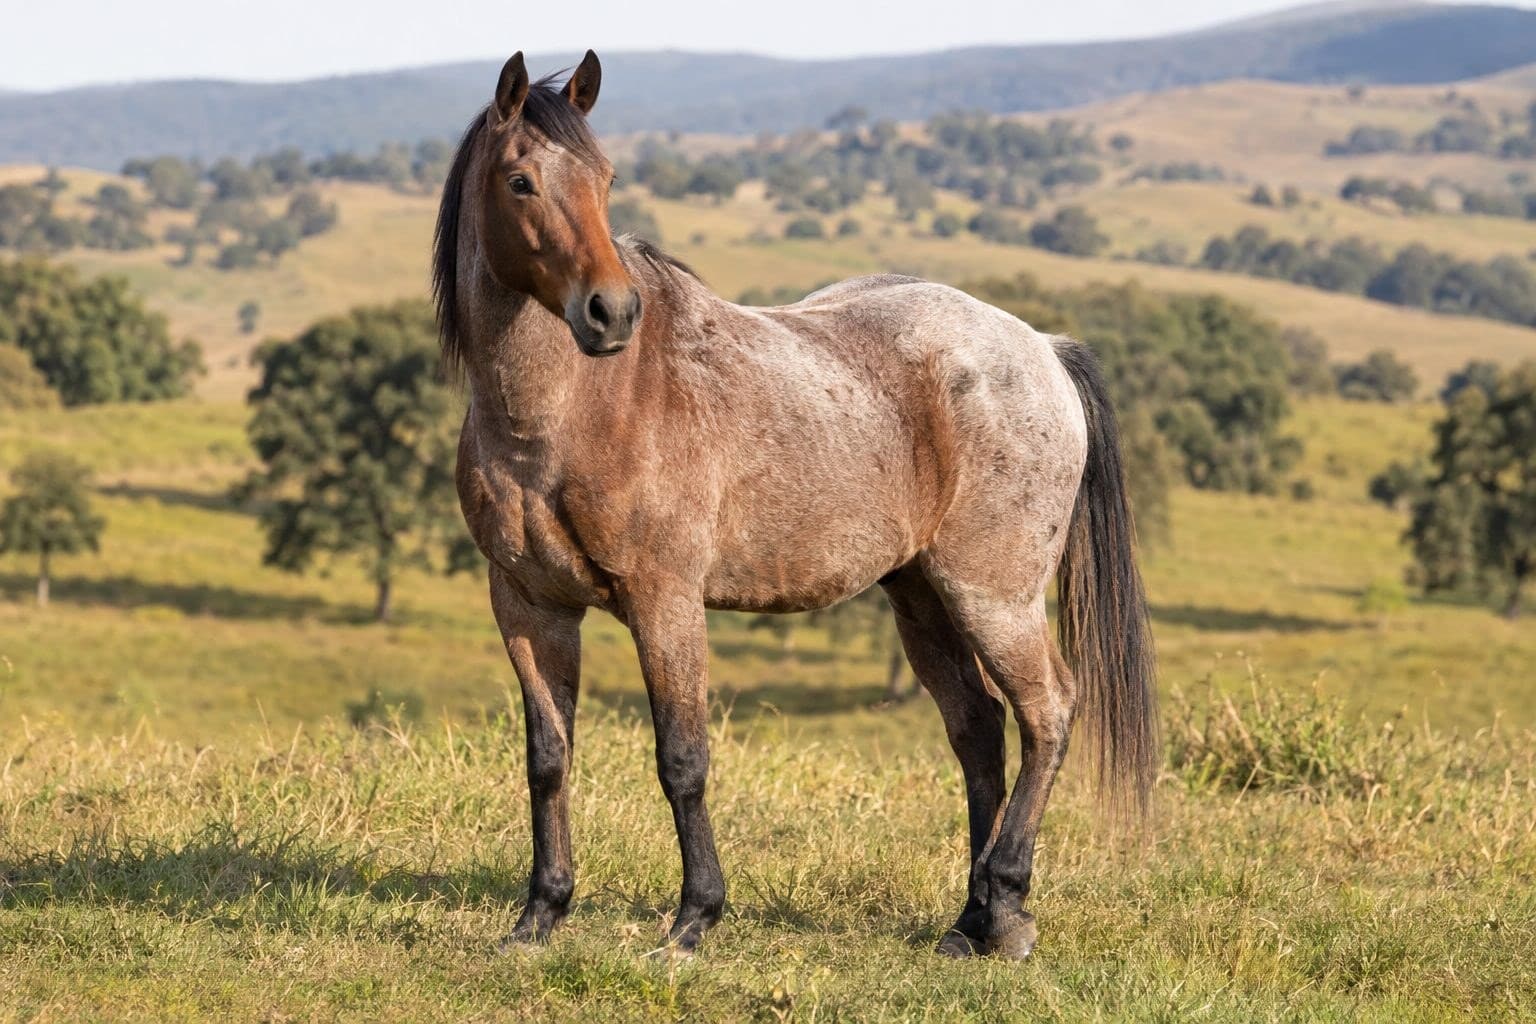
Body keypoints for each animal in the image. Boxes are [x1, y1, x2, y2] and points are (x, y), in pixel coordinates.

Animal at [434, 49, 1157, 958]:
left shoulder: (664, 601)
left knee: (1048, 711)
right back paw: (972, 922)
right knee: (979, 732)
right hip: (922, 598)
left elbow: (682, 758)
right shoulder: (529, 605)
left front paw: (693, 921)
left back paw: (1008, 901)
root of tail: (1042, 348)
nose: (612, 313)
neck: (570, 410)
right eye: (521, 181)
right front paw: (539, 916)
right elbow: (548, 757)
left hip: (994, 596)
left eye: (604, 179)